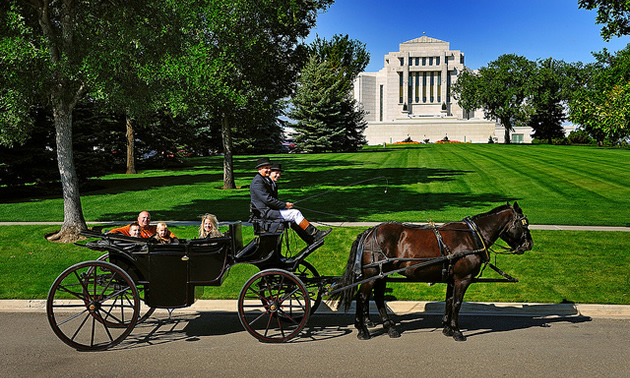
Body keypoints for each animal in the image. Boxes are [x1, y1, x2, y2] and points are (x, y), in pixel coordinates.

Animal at [334, 202, 536, 342]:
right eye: (524, 224)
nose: (529, 244)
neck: (472, 236)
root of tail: (368, 231)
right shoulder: (463, 279)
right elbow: (457, 303)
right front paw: (456, 331)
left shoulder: (453, 279)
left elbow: (449, 301)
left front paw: (447, 328)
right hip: (371, 274)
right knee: (362, 298)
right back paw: (362, 330)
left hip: (382, 274)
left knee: (377, 298)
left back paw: (390, 328)